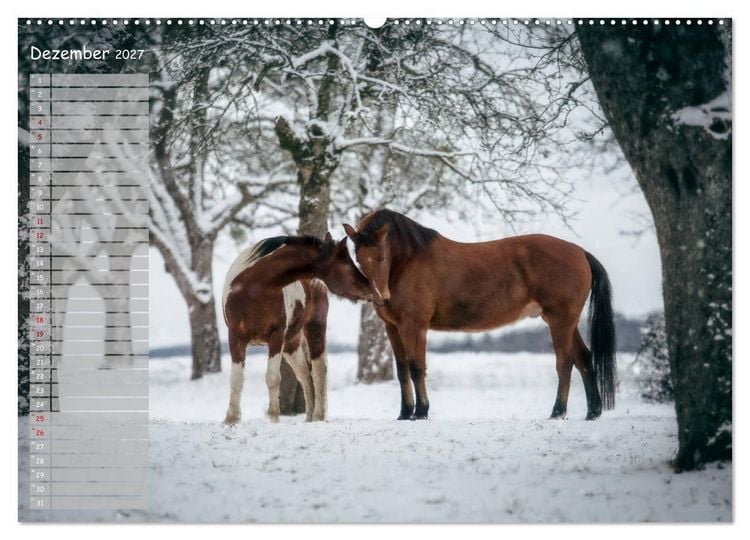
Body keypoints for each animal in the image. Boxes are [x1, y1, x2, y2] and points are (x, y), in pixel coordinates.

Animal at [222, 233, 372, 425]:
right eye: (347, 265)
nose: (370, 288)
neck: (253, 289)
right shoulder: (235, 337)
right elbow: (236, 379)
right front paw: (231, 419)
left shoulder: (276, 337)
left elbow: (273, 378)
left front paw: (273, 417)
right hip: (291, 344)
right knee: (304, 374)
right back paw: (309, 417)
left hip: (314, 329)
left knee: (319, 370)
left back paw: (318, 416)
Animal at [343, 209, 616, 421]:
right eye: (359, 258)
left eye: (382, 256)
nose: (381, 297)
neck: (407, 262)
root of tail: (580, 252)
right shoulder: (392, 327)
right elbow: (402, 371)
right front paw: (404, 413)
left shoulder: (414, 326)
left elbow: (416, 367)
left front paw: (420, 412)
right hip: (566, 322)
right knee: (584, 358)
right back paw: (593, 412)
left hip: (560, 320)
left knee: (565, 363)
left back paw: (558, 412)